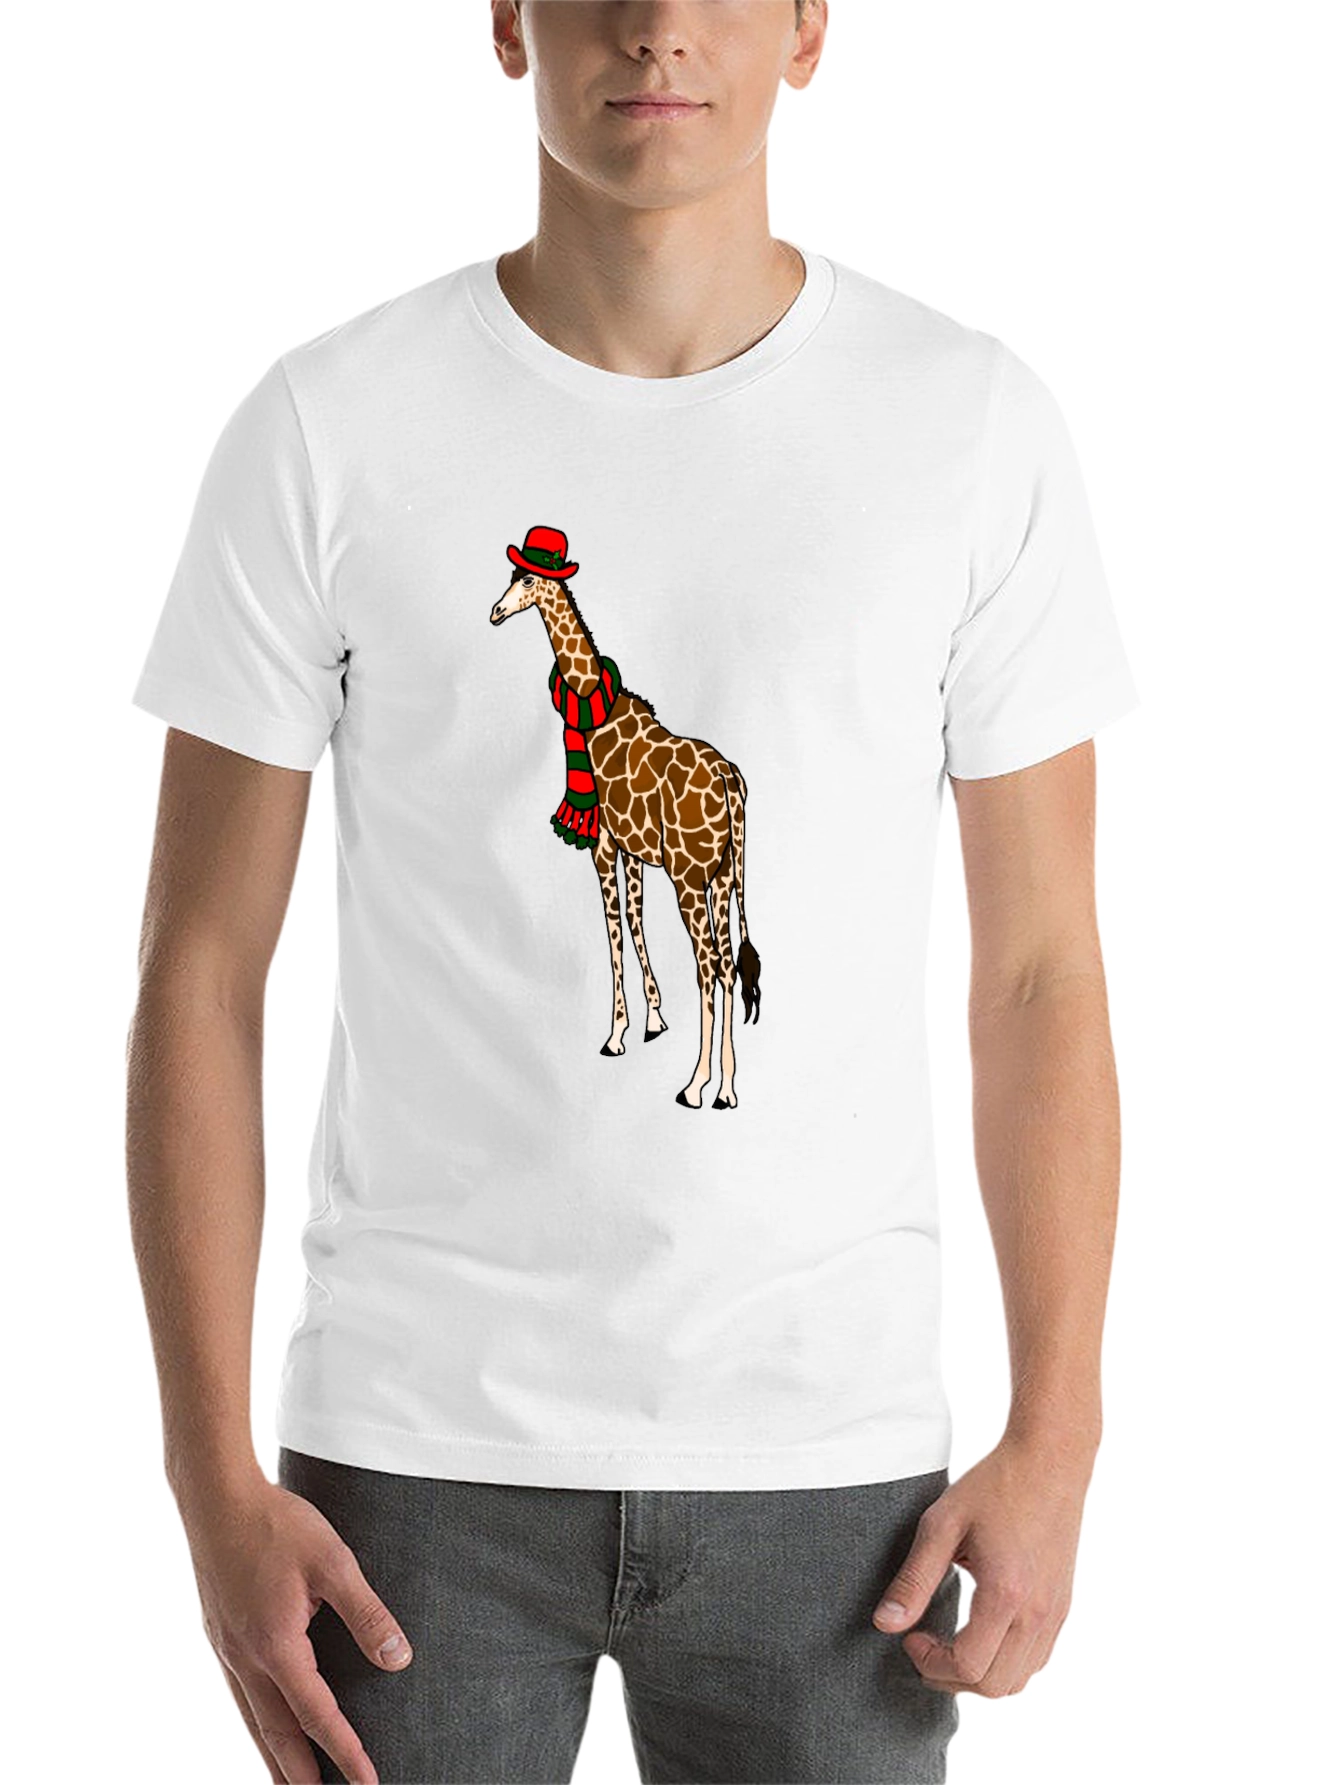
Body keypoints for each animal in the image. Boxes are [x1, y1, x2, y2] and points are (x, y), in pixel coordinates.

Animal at [488, 539, 761, 1109]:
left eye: (527, 580)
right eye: (511, 575)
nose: (496, 612)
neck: (597, 711)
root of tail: (730, 779)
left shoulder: (604, 842)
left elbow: (613, 928)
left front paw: (616, 1035)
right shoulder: (634, 850)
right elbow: (634, 922)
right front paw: (653, 1019)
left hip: (689, 876)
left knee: (708, 967)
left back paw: (695, 1085)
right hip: (724, 876)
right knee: (727, 966)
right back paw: (726, 1088)